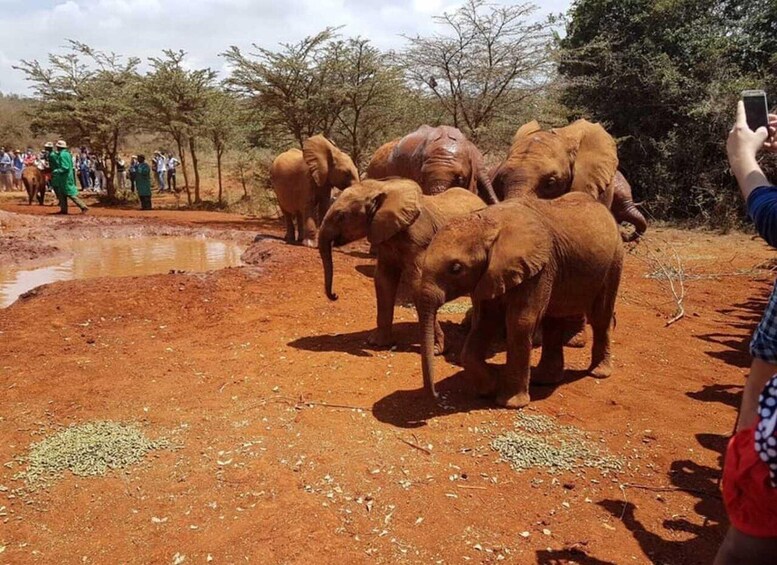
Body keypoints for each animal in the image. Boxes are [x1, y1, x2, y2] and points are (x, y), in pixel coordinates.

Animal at [318, 178, 486, 352]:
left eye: (341, 216)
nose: (334, 295)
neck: (382, 188)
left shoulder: (419, 242)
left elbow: (418, 285)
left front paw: (436, 350)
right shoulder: (385, 238)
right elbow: (383, 280)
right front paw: (377, 344)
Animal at [417, 192, 624, 408]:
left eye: (456, 268)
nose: (436, 396)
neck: (489, 224)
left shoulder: (538, 269)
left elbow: (520, 323)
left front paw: (510, 403)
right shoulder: (491, 274)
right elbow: (485, 322)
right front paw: (490, 387)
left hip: (614, 262)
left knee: (600, 316)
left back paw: (598, 373)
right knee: (553, 321)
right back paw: (544, 380)